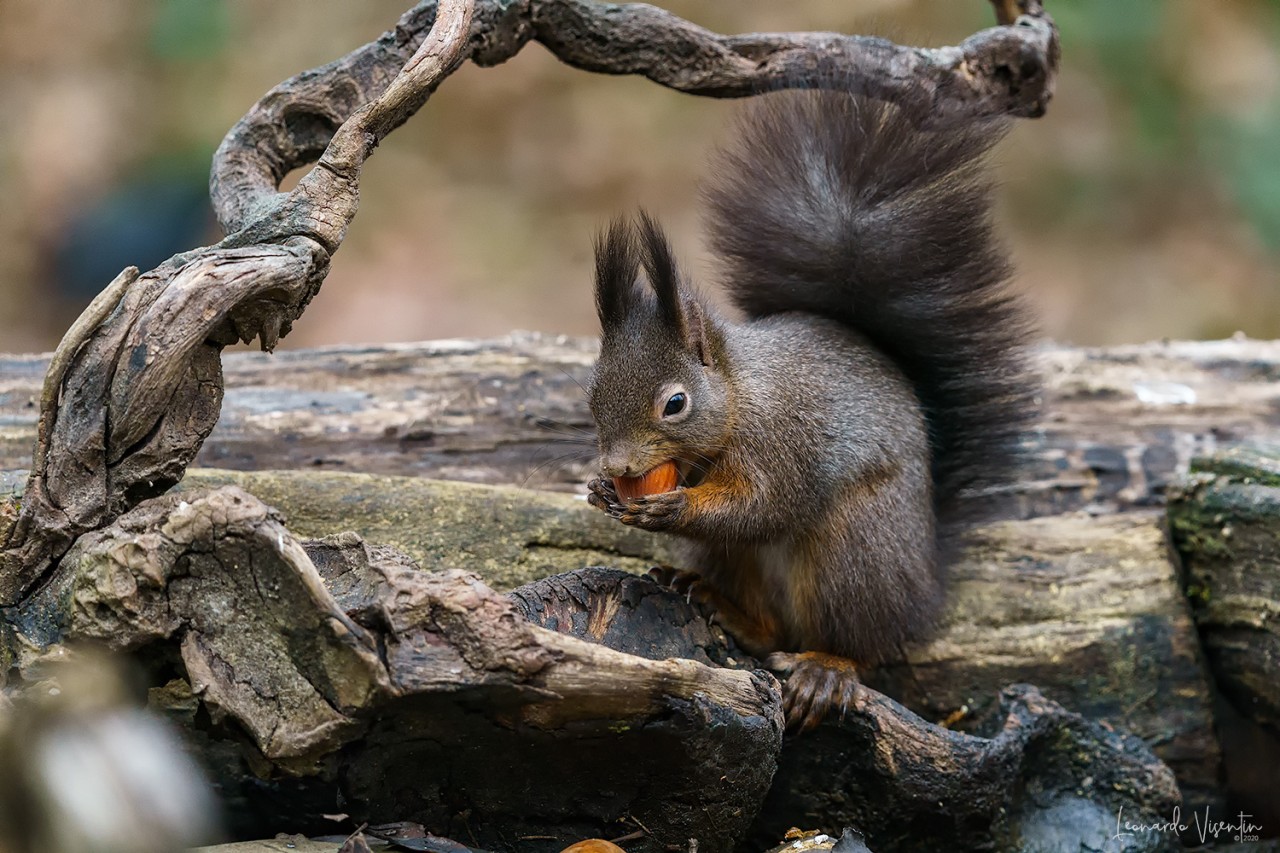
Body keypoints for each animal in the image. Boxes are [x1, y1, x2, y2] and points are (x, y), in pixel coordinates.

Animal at [585, 89, 1037, 730]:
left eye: (675, 403)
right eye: (592, 393)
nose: (620, 468)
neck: (741, 396)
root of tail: (925, 582)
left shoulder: (785, 441)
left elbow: (766, 505)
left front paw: (674, 507)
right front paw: (601, 491)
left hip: (854, 553)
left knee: (858, 644)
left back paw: (827, 668)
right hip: (737, 560)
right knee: (771, 626)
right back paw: (718, 603)